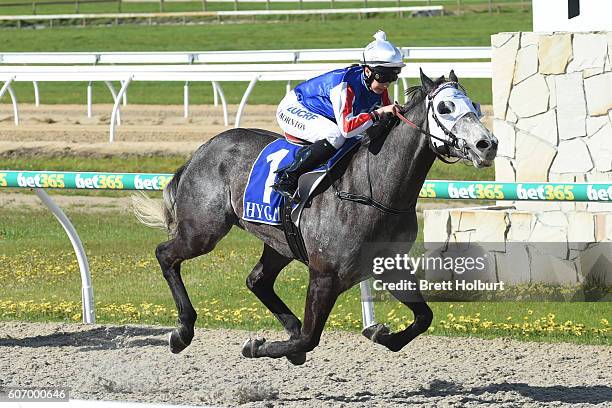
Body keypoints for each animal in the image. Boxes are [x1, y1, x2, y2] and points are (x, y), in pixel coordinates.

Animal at [134, 68, 498, 364]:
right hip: (202, 231)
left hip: (279, 242)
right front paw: (258, 347)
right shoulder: (324, 276)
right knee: (165, 254)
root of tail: (202, 149)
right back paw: (183, 331)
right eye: (444, 107)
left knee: (257, 281)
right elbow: (310, 339)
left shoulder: (388, 265)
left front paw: (379, 333)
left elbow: (424, 317)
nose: (487, 144)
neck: (374, 191)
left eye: (474, 104)